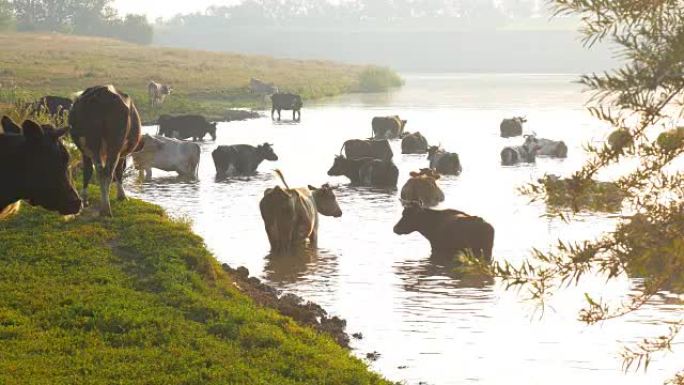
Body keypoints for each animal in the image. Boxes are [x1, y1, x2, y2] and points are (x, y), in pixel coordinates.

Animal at [70, 85, 144, 216]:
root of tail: (102, 92)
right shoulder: (121, 154)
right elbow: (119, 171)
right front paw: (122, 196)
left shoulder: (85, 151)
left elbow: (88, 171)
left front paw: (84, 199)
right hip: (114, 145)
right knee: (107, 171)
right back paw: (105, 208)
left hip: (92, 143)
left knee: (99, 170)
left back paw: (103, 207)